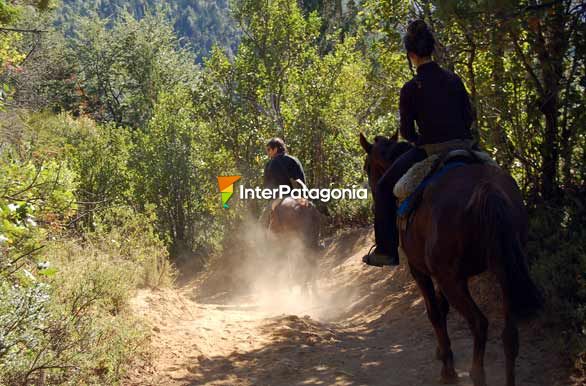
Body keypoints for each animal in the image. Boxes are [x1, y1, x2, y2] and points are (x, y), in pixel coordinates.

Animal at [358, 133, 540, 386]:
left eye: (367, 167)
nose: (371, 190)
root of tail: (486, 188)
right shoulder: (451, 275)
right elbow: (443, 308)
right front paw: (443, 354)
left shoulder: (421, 271)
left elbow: (434, 312)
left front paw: (447, 367)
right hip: (503, 271)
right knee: (509, 335)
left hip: (452, 280)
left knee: (479, 323)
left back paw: (474, 374)